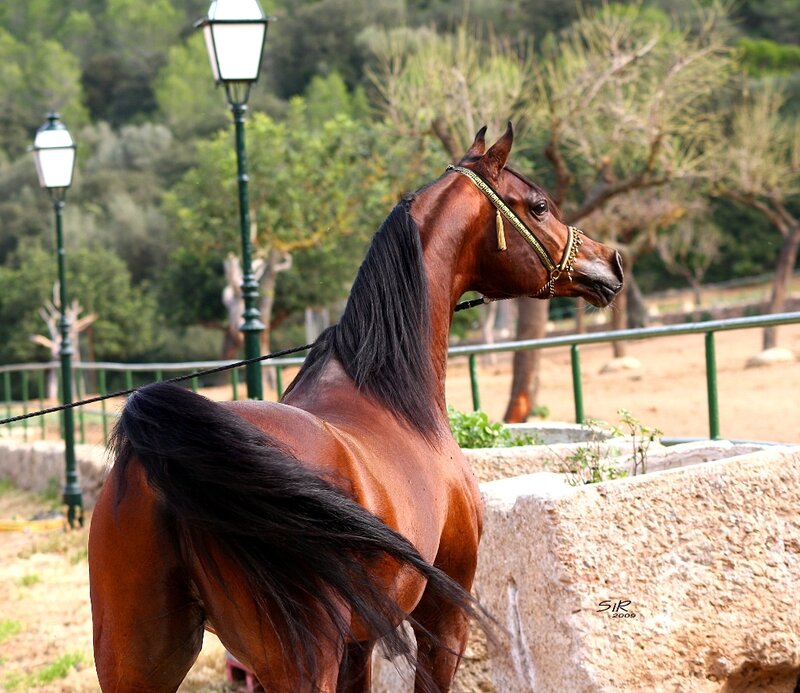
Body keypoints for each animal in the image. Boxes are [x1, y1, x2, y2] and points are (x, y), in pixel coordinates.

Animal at [88, 123, 623, 692]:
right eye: (539, 205)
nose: (611, 262)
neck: (392, 396)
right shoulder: (444, 616)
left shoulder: (360, 643)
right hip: (298, 664)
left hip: (140, 662)